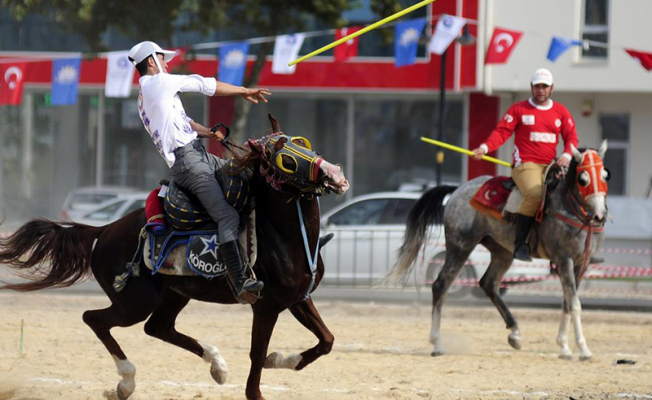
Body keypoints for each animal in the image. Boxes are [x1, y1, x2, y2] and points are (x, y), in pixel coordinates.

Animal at [0, 115, 352, 400]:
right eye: (286, 160)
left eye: (303, 143)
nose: (335, 174)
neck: (280, 235)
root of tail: (105, 230)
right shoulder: (265, 306)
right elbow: (256, 357)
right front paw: (264, 371)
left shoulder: (297, 299)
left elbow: (327, 340)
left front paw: (280, 359)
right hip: (135, 302)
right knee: (95, 319)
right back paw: (126, 381)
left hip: (174, 294)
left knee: (158, 328)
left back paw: (217, 365)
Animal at [384, 142, 608, 360]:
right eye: (583, 179)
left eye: (606, 175)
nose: (600, 215)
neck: (570, 209)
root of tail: (458, 190)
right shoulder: (564, 260)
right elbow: (574, 304)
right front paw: (583, 349)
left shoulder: (580, 264)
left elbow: (567, 303)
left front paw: (564, 347)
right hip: (460, 246)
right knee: (441, 286)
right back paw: (437, 343)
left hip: (503, 252)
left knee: (488, 283)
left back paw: (515, 333)